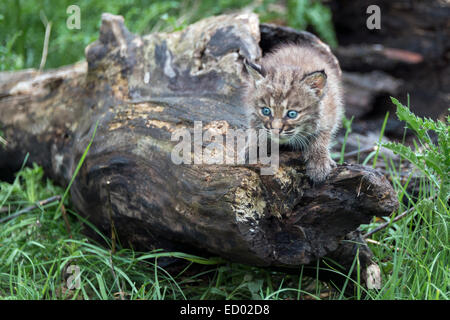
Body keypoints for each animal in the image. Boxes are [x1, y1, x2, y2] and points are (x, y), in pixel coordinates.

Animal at [244, 43, 342, 182]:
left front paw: (319, 162)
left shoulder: (330, 116)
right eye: (266, 111)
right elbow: (255, 129)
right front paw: (253, 148)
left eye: (292, 114)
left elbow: (321, 137)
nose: (276, 130)